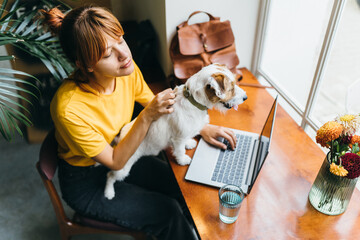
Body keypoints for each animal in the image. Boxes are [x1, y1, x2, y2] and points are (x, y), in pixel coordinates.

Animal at [102, 63, 246, 199]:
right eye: (231, 88)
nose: (245, 97)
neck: (193, 101)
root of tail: (120, 138)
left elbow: (186, 141)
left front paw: (189, 143)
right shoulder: (178, 138)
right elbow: (180, 150)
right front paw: (182, 160)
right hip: (122, 168)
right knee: (109, 175)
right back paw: (109, 192)